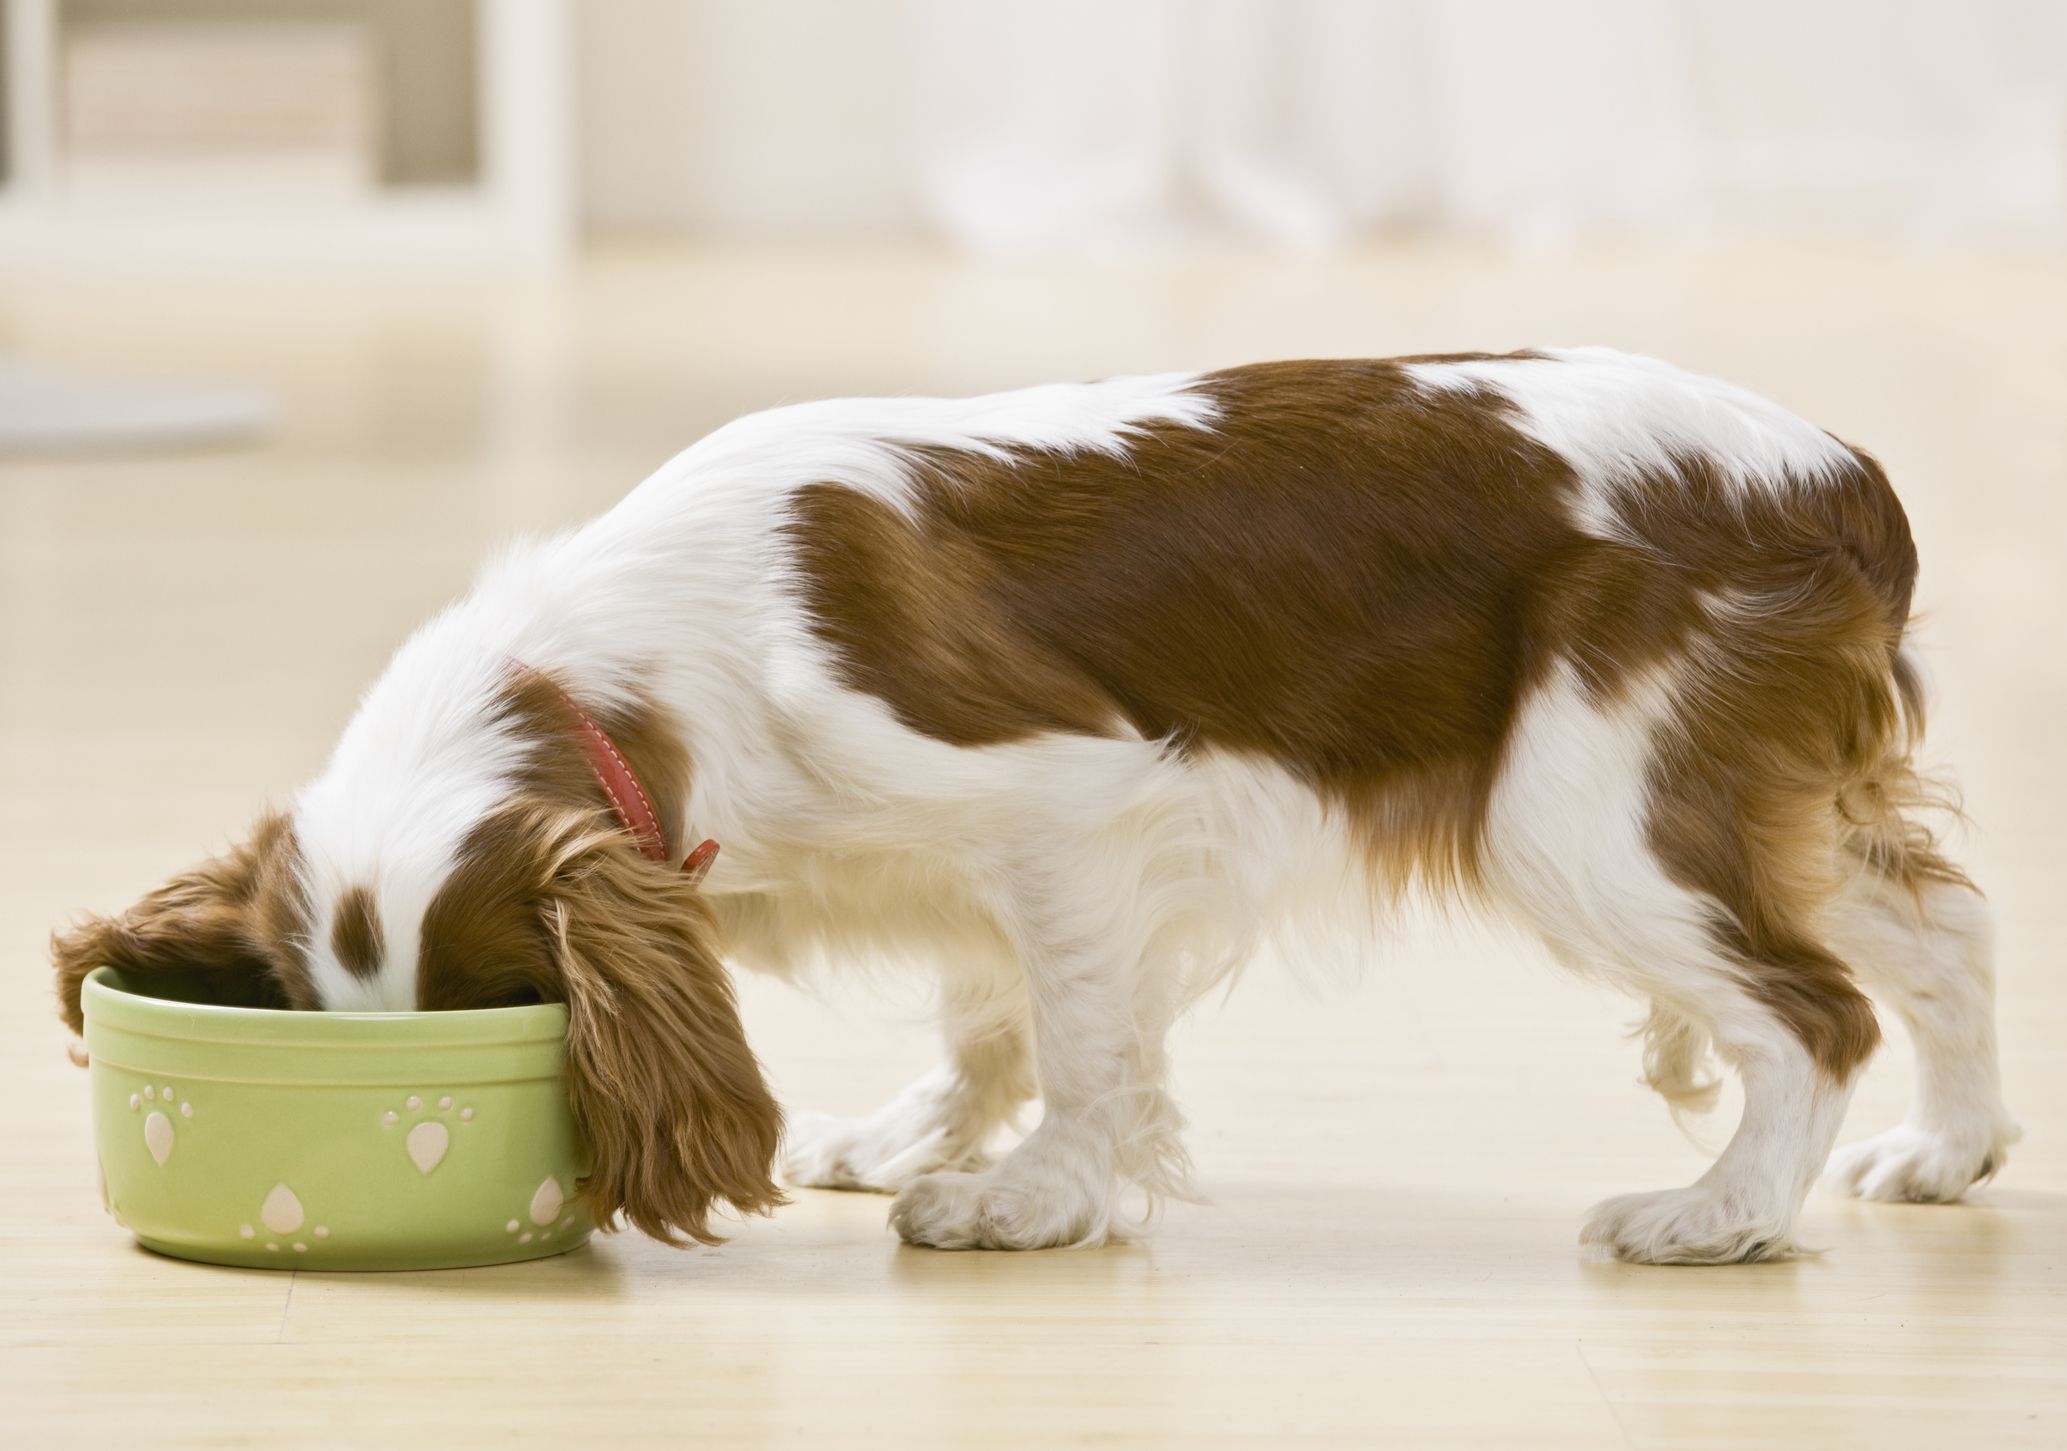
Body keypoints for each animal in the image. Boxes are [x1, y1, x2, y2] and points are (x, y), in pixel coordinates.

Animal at [56, 349, 2025, 1264]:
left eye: (510, 1011)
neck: (628, 669)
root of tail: (1837, 479)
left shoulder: (1066, 808)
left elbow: (1078, 1039)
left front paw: (1027, 1199)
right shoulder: (972, 870)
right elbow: (987, 1010)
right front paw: (918, 1133)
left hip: (1585, 812)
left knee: (1806, 1009)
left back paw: (1717, 1216)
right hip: (1745, 792)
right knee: (1935, 928)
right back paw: (1946, 1150)